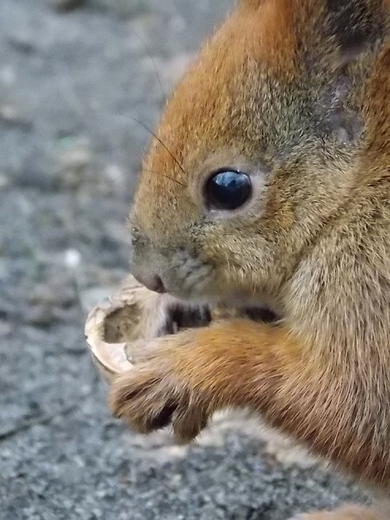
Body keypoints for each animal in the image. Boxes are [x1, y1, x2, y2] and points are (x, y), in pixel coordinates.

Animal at [108, 2, 390, 516]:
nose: (148, 275)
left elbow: (352, 403)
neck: (359, 187)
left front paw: (188, 369)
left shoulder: (371, 282)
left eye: (228, 188)